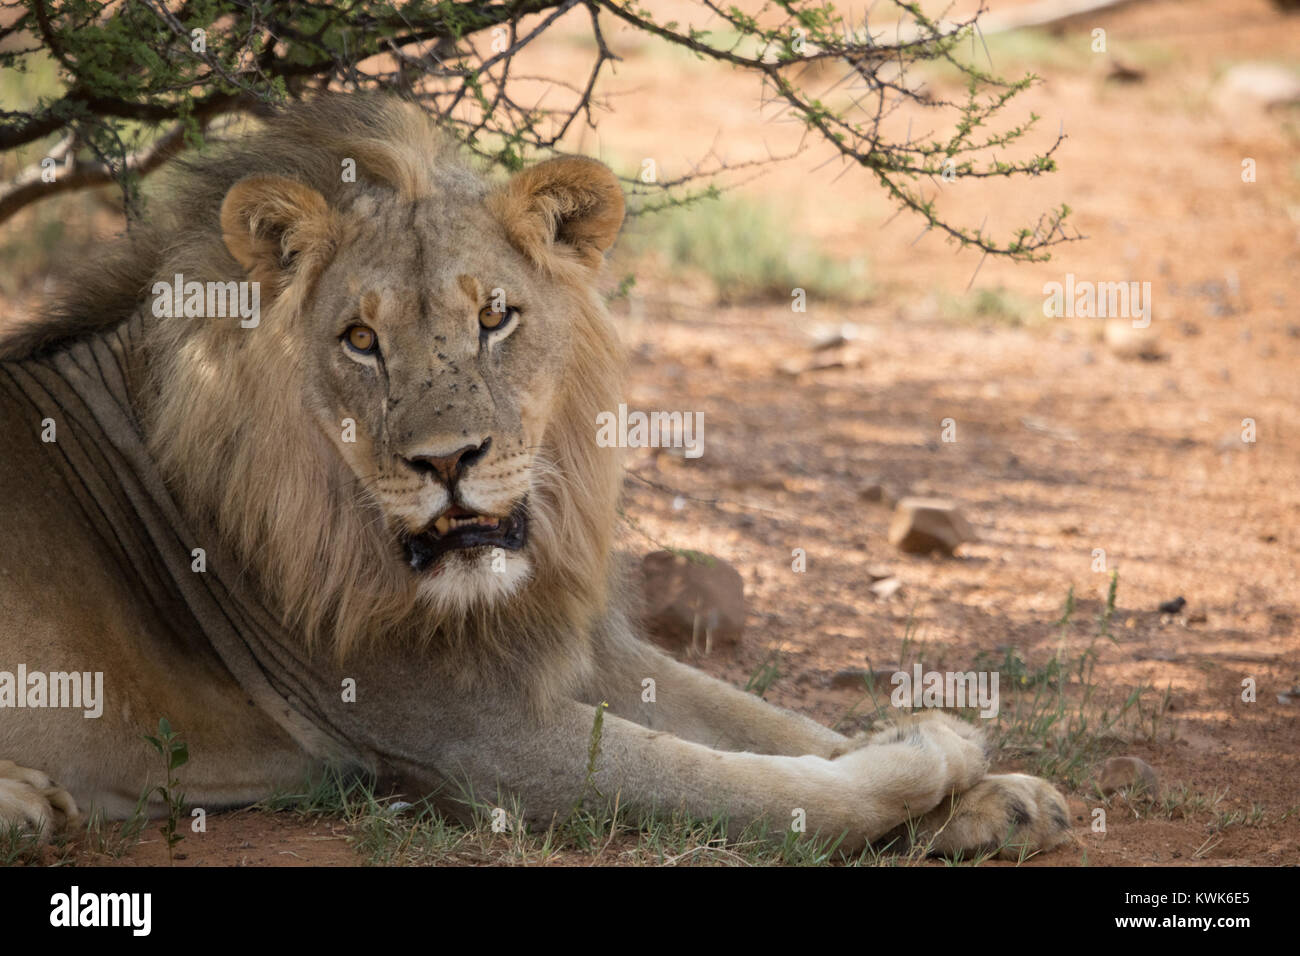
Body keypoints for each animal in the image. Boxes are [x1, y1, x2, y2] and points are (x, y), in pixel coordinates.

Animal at [0, 95, 1071, 858]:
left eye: (494, 316)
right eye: (360, 340)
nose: (447, 462)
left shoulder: (571, 642)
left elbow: (764, 722)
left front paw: (994, 796)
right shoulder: (475, 739)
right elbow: (744, 787)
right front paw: (928, 747)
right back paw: (28, 805)